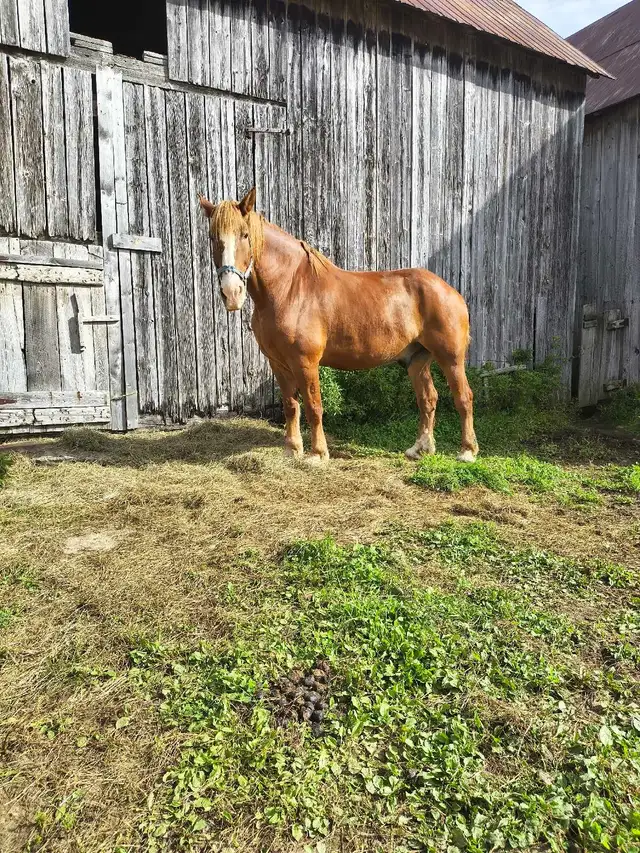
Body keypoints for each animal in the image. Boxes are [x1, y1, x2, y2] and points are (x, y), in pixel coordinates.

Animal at [199, 187, 479, 465]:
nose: (231, 293)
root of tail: (450, 291)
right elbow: (291, 405)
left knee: (463, 397)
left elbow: (313, 406)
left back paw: (467, 451)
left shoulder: (305, 362)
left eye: (245, 234)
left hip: (450, 357)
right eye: (212, 237)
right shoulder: (278, 363)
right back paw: (420, 449)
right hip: (417, 360)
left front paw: (317, 454)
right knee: (427, 399)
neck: (289, 289)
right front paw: (292, 449)